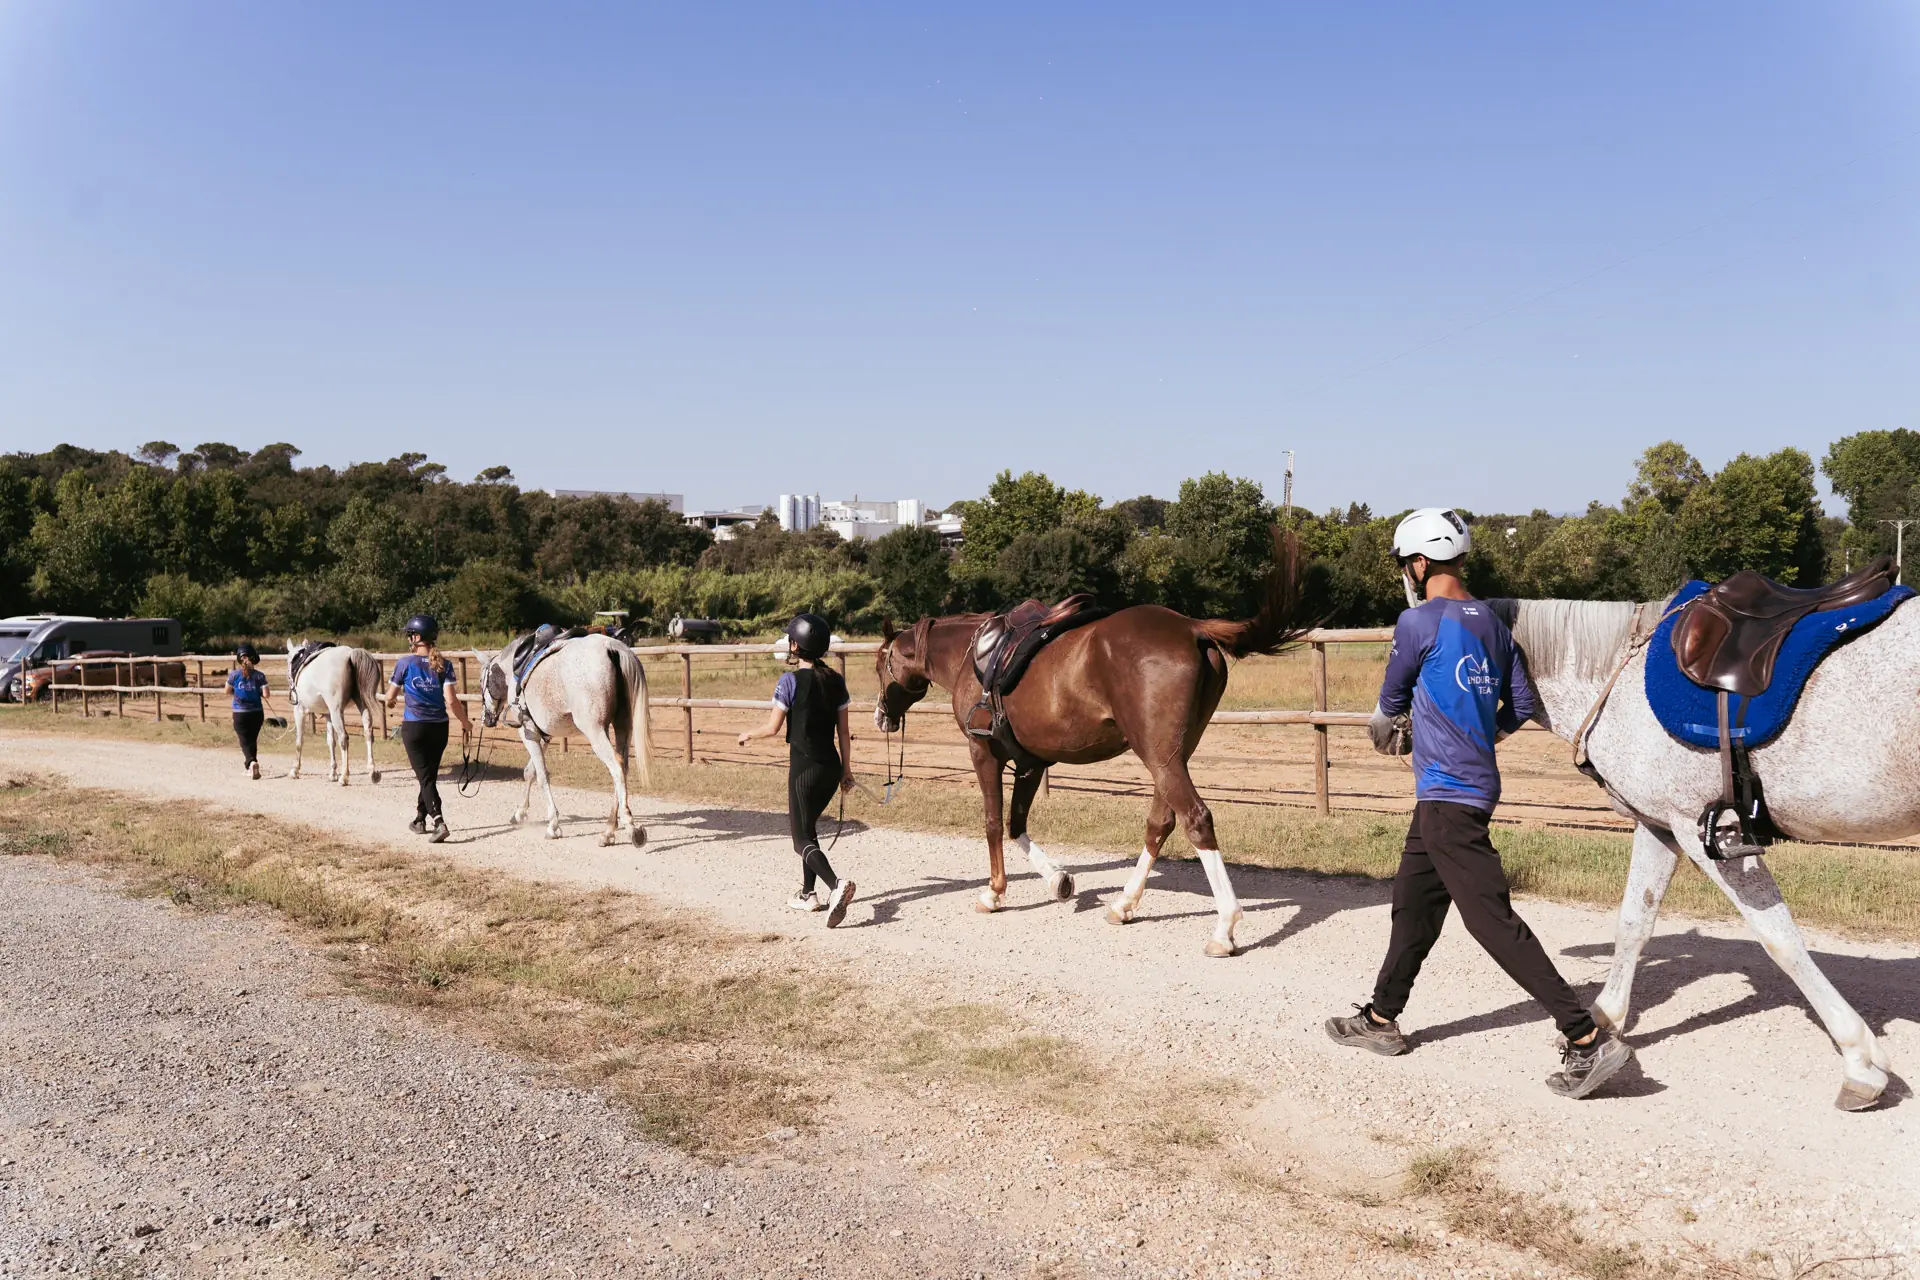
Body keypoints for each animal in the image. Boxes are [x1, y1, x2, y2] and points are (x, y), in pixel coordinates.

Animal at [285, 641, 384, 786]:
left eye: (290, 661)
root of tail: (350, 654)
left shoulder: (300, 711)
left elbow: (299, 741)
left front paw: (295, 770)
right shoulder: (328, 715)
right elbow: (331, 741)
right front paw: (332, 773)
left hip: (336, 711)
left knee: (344, 737)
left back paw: (345, 777)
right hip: (359, 704)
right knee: (368, 733)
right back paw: (372, 772)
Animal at [479, 632, 652, 847]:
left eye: (482, 682)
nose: (486, 718)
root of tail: (612, 647)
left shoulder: (528, 733)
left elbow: (542, 776)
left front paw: (553, 825)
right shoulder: (545, 735)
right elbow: (530, 772)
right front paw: (519, 814)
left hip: (595, 731)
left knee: (616, 766)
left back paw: (630, 827)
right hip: (623, 727)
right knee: (623, 768)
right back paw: (608, 831)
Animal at [873, 533, 1307, 956]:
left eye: (881, 665)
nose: (881, 715)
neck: (971, 655)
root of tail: (1192, 628)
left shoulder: (985, 753)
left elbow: (994, 822)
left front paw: (994, 893)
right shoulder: (1032, 761)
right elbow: (1017, 824)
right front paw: (1058, 881)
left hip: (1160, 757)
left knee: (1196, 820)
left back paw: (1224, 928)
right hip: (1170, 757)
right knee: (1161, 822)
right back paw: (1124, 904)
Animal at [1501, 595, 1920, 1111]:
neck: (1619, 681)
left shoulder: (1706, 830)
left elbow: (1780, 939)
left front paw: (1860, 1062)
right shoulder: (1658, 824)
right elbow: (1634, 923)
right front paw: (1602, 1022)